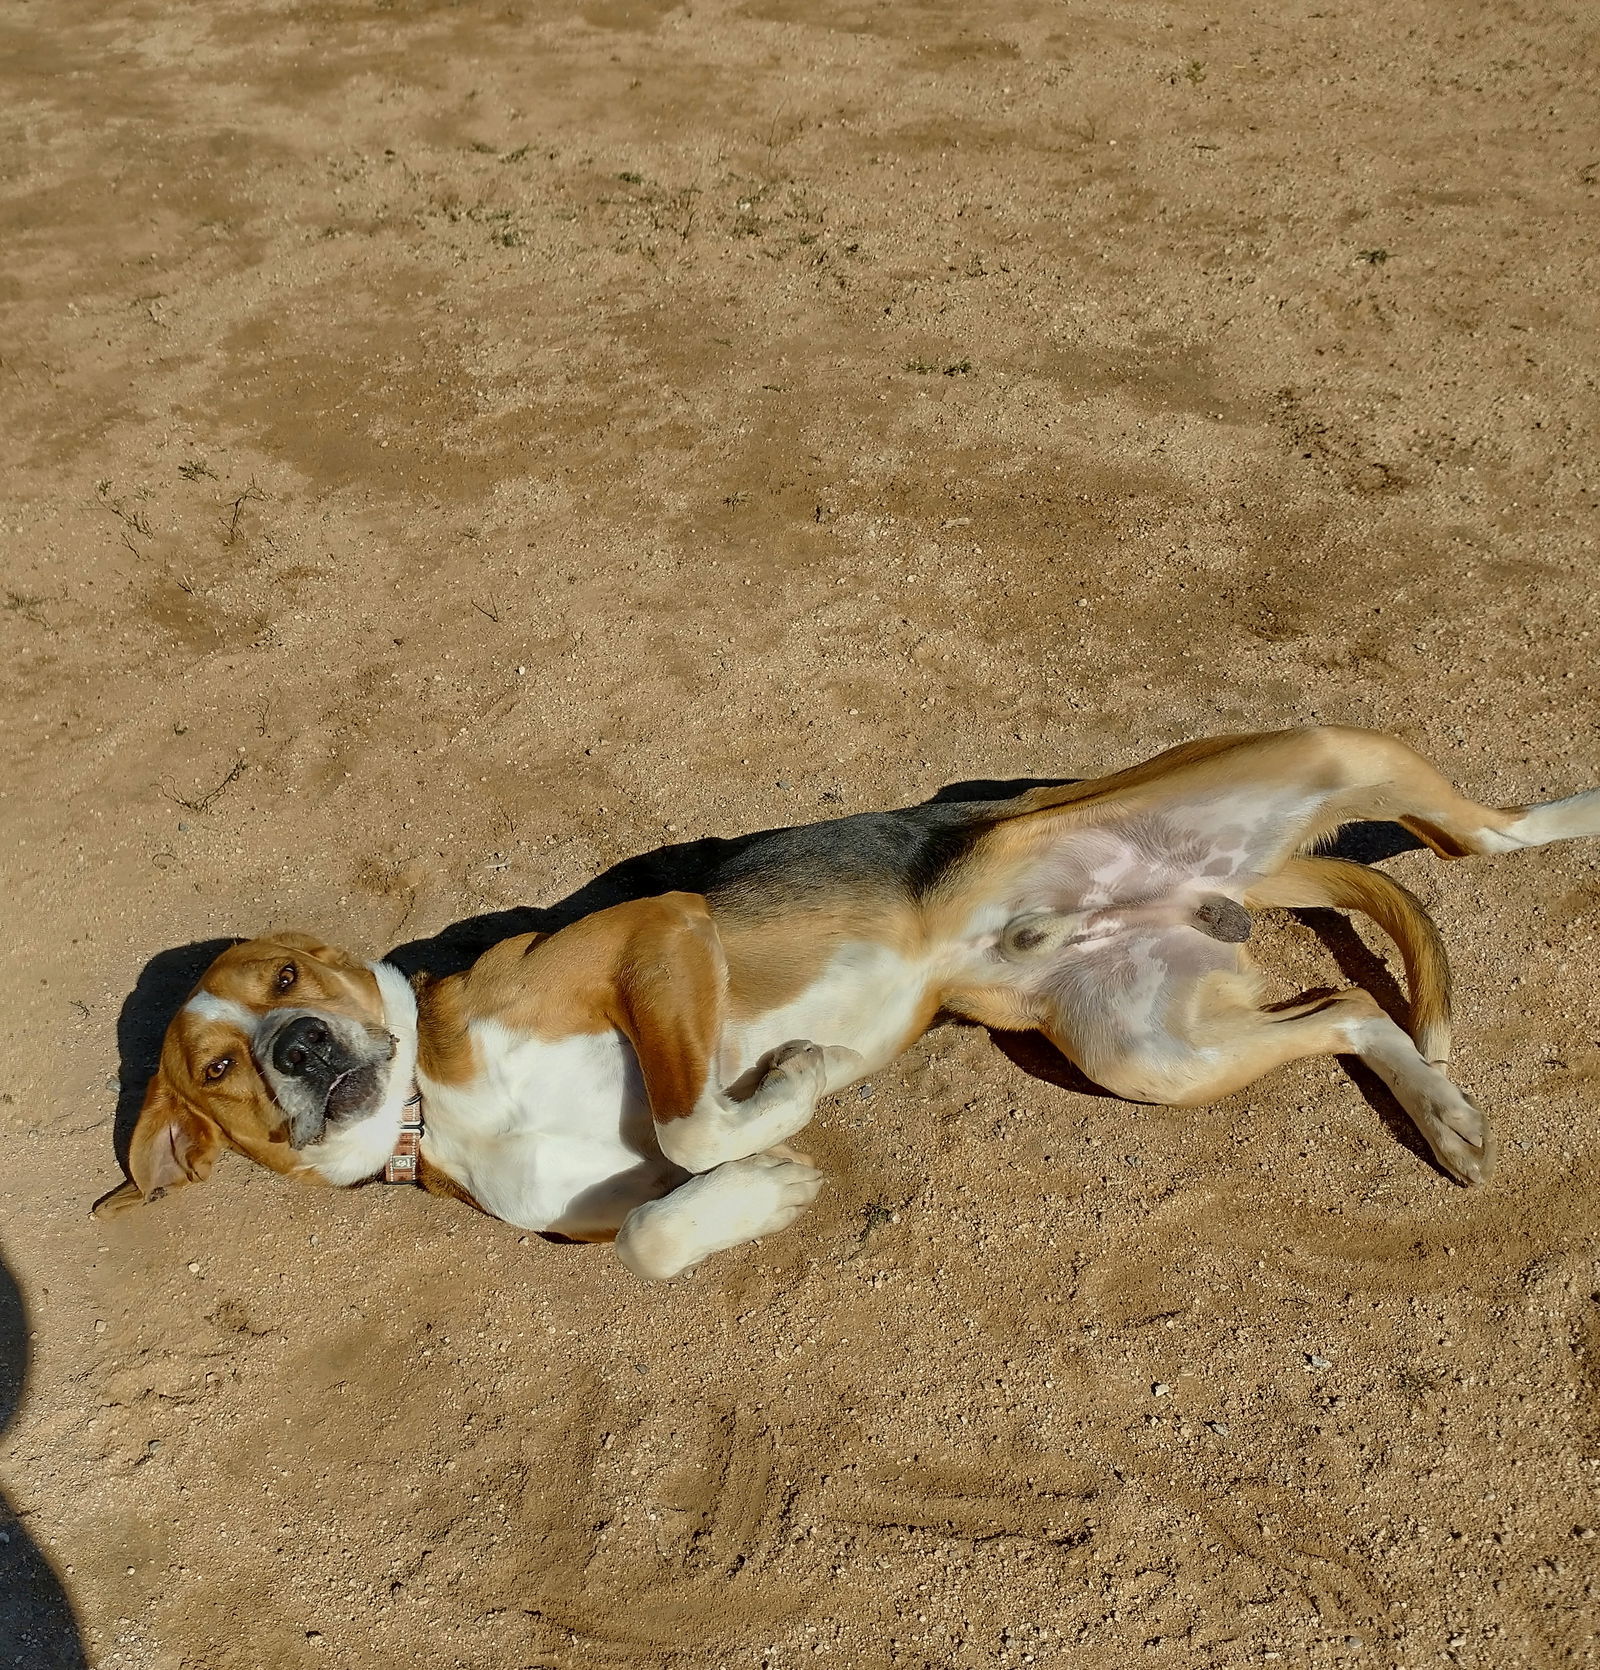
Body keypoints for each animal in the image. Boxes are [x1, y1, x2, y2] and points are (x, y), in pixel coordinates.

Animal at [96, 728, 1600, 1275]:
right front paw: (772, 1186)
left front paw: (795, 1095)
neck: (437, 1098)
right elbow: (653, 1227)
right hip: (1141, 1045)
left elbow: (693, 1120)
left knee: (1484, 834)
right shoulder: (600, 1202)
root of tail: (1218, 875)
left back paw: (1572, 812)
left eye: (286, 977)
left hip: (1313, 753)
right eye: (217, 1070)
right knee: (1346, 1011)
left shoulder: (660, 932)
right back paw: (1441, 1108)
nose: (297, 1045)